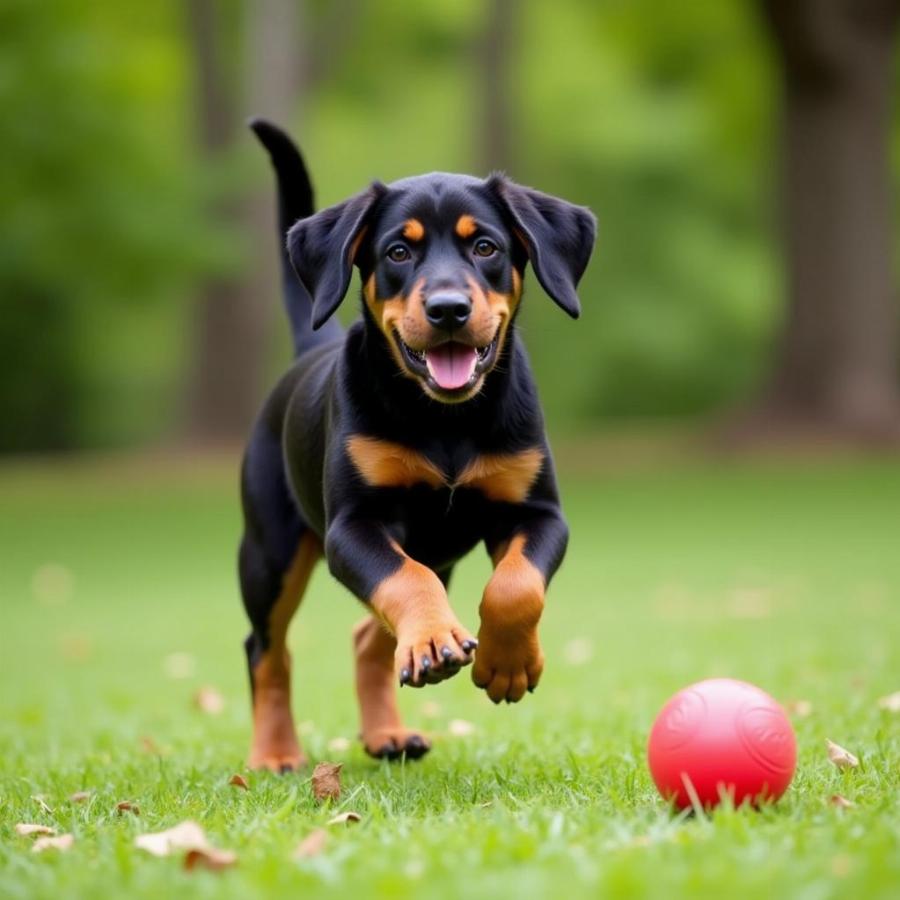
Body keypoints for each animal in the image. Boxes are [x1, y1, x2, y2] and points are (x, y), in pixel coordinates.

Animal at [239, 116, 596, 768]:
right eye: (398, 252)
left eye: (485, 247)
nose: (448, 309)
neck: (446, 421)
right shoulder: (354, 526)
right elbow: (406, 581)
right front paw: (435, 638)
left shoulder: (538, 512)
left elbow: (516, 586)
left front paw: (508, 662)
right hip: (268, 549)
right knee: (266, 648)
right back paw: (276, 753)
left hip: (434, 549)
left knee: (367, 638)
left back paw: (388, 733)